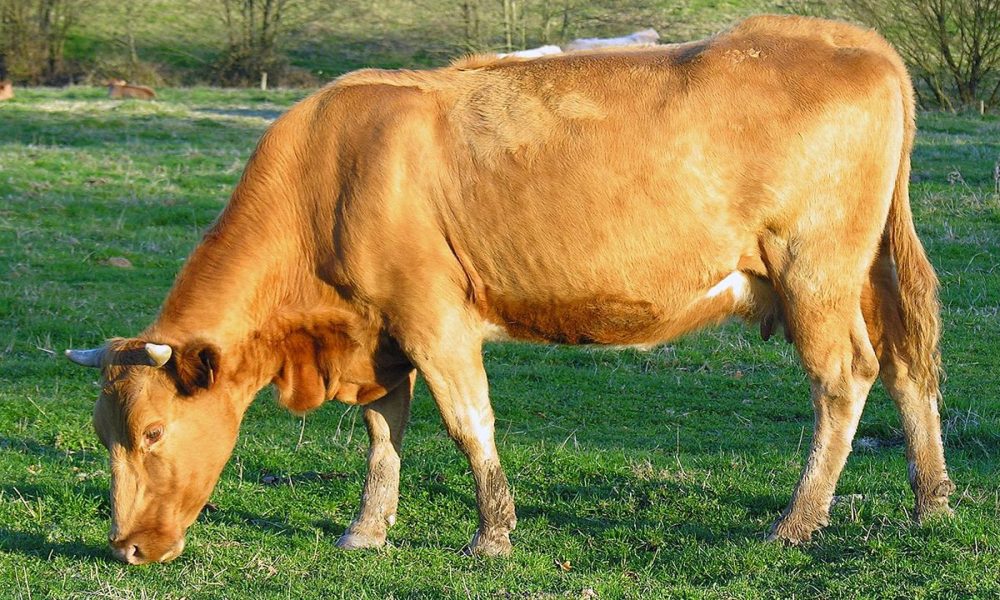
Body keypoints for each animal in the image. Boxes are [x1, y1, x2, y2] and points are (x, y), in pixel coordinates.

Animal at [66, 15, 954, 564]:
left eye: (151, 433)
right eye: (107, 433)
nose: (127, 547)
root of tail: (849, 37)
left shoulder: (434, 317)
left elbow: (469, 426)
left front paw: (491, 536)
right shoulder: (380, 334)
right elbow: (383, 432)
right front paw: (367, 531)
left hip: (814, 272)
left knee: (843, 380)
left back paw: (796, 523)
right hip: (864, 272)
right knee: (907, 367)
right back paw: (932, 503)